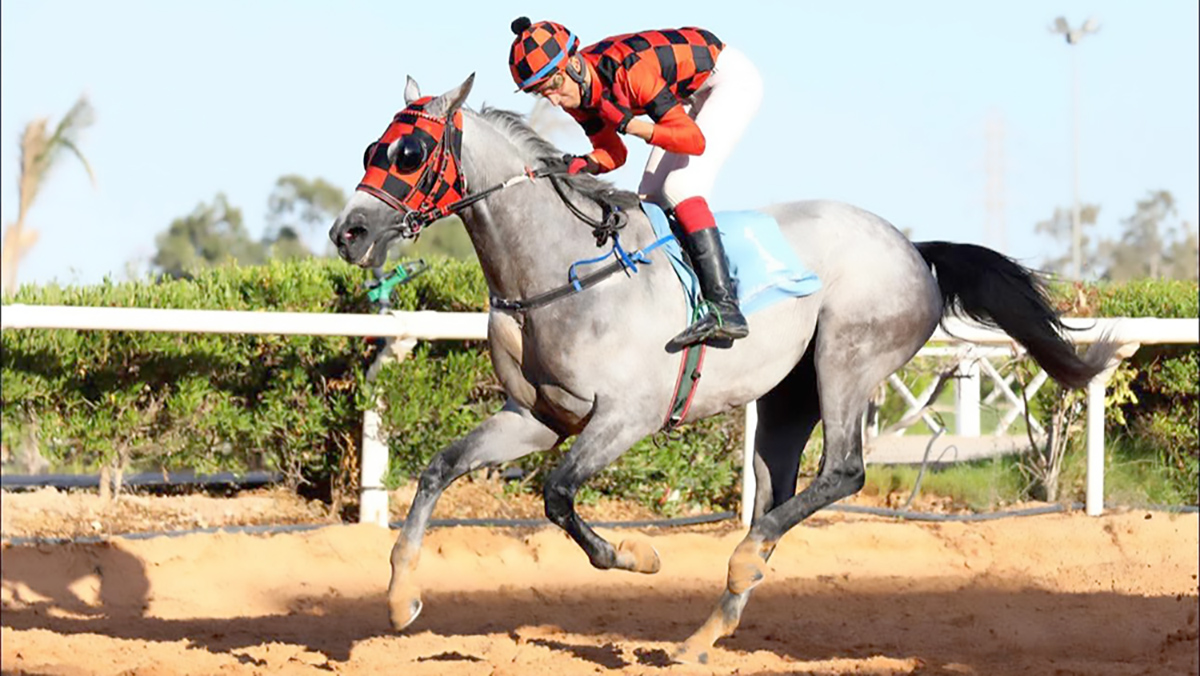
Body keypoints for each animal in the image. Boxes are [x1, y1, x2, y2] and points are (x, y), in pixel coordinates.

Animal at [329, 74, 1113, 663]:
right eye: (372, 145)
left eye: (410, 152)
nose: (349, 232)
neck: (559, 272)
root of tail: (915, 249)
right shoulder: (536, 417)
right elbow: (439, 469)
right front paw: (400, 600)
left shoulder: (626, 418)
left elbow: (557, 494)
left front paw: (639, 556)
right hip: (788, 399)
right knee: (777, 495)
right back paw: (708, 627)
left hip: (847, 358)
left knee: (844, 471)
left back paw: (737, 566)